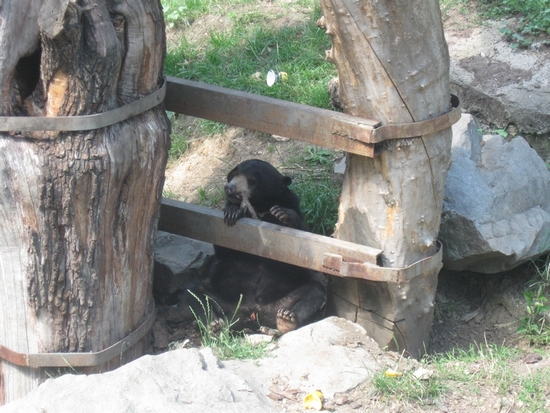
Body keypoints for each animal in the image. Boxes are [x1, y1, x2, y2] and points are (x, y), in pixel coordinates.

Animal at [190, 159, 328, 334]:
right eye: (233, 174)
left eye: (252, 181)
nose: (229, 188)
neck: (259, 208)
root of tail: (253, 313)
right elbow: (224, 249)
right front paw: (233, 211)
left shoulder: (291, 205)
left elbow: (302, 250)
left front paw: (282, 214)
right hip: (225, 299)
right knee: (197, 293)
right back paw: (213, 324)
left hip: (284, 299)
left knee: (314, 291)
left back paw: (286, 319)